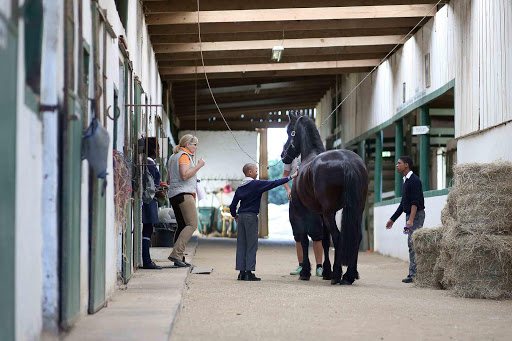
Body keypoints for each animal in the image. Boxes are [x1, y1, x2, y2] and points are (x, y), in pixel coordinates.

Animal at [284, 113, 368, 282]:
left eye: (290, 132)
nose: (283, 156)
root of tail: (346, 161)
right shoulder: (322, 213)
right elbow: (324, 240)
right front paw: (326, 272)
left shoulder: (301, 210)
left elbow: (304, 239)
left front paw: (306, 272)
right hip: (356, 209)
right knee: (356, 236)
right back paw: (350, 274)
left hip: (329, 213)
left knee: (338, 236)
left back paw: (337, 275)